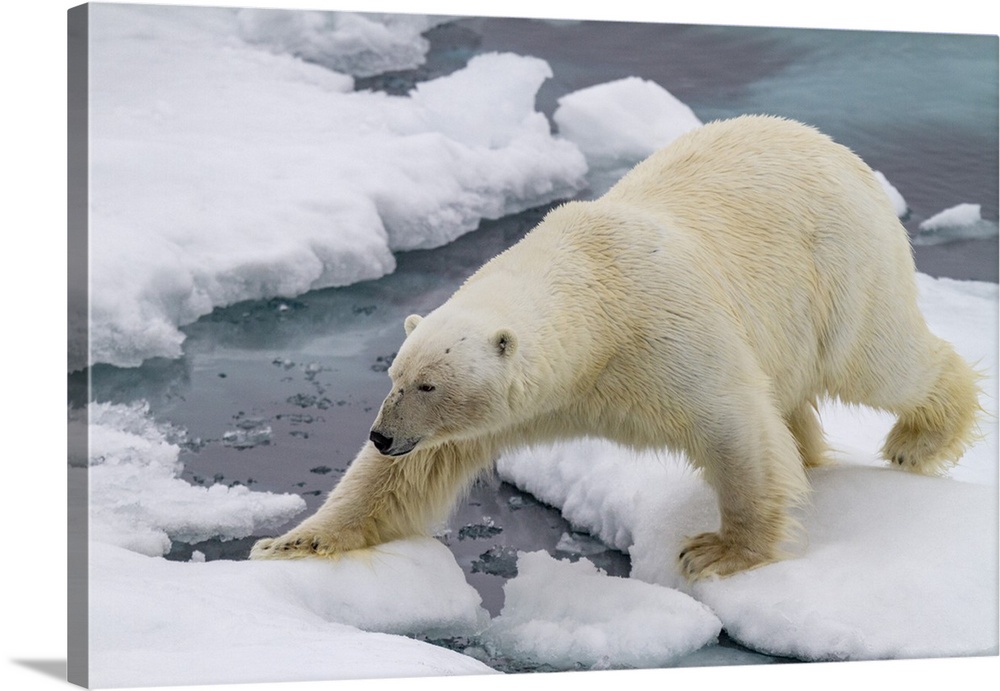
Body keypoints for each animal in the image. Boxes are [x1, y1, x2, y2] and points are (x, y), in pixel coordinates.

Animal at [251, 114, 981, 579]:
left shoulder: (666, 334)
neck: (594, 296)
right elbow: (409, 475)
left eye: (429, 383)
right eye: (394, 377)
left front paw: (718, 551)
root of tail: (844, 155)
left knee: (880, 362)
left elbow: (734, 429)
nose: (381, 434)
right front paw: (293, 541)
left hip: (839, 267)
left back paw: (918, 439)